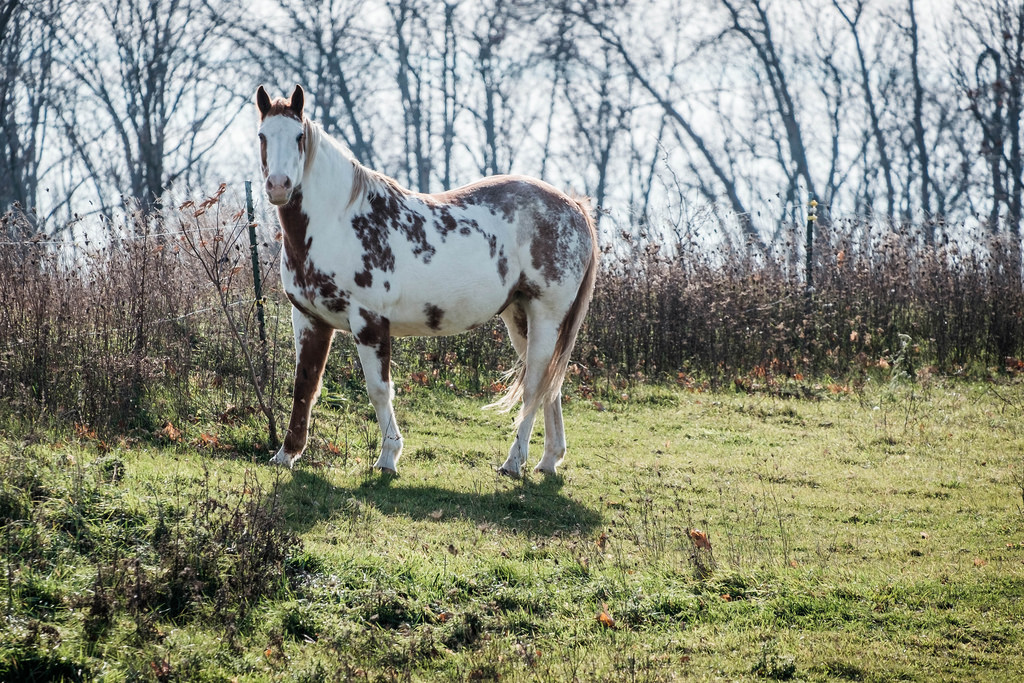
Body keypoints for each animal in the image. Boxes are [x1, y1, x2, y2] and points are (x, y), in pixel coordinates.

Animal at [254, 85, 598, 479]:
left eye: (298, 136)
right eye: (262, 136)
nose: (278, 186)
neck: (338, 222)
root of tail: (573, 205)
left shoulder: (369, 322)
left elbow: (379, 390)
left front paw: (388, 458)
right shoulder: (309, 319)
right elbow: (304, 386)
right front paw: (286, 454)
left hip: (546, 315)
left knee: (534, 387)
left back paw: (514, 462)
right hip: (519, 317)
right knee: (549, 388)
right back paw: (549, 459)